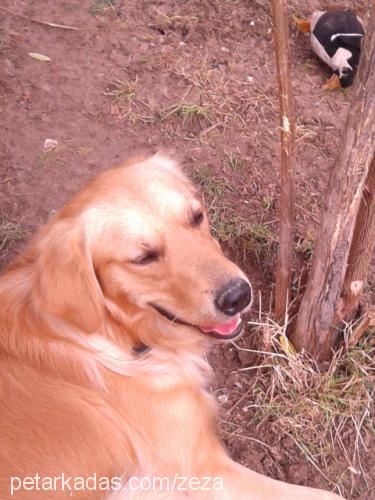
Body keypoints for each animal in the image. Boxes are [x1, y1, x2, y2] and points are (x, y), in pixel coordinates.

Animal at [0, 154, 342, 498]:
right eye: (144, 257)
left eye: (197, 216)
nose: (238, 295)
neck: (119, 336)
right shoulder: (203, 469)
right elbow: (332, 494)